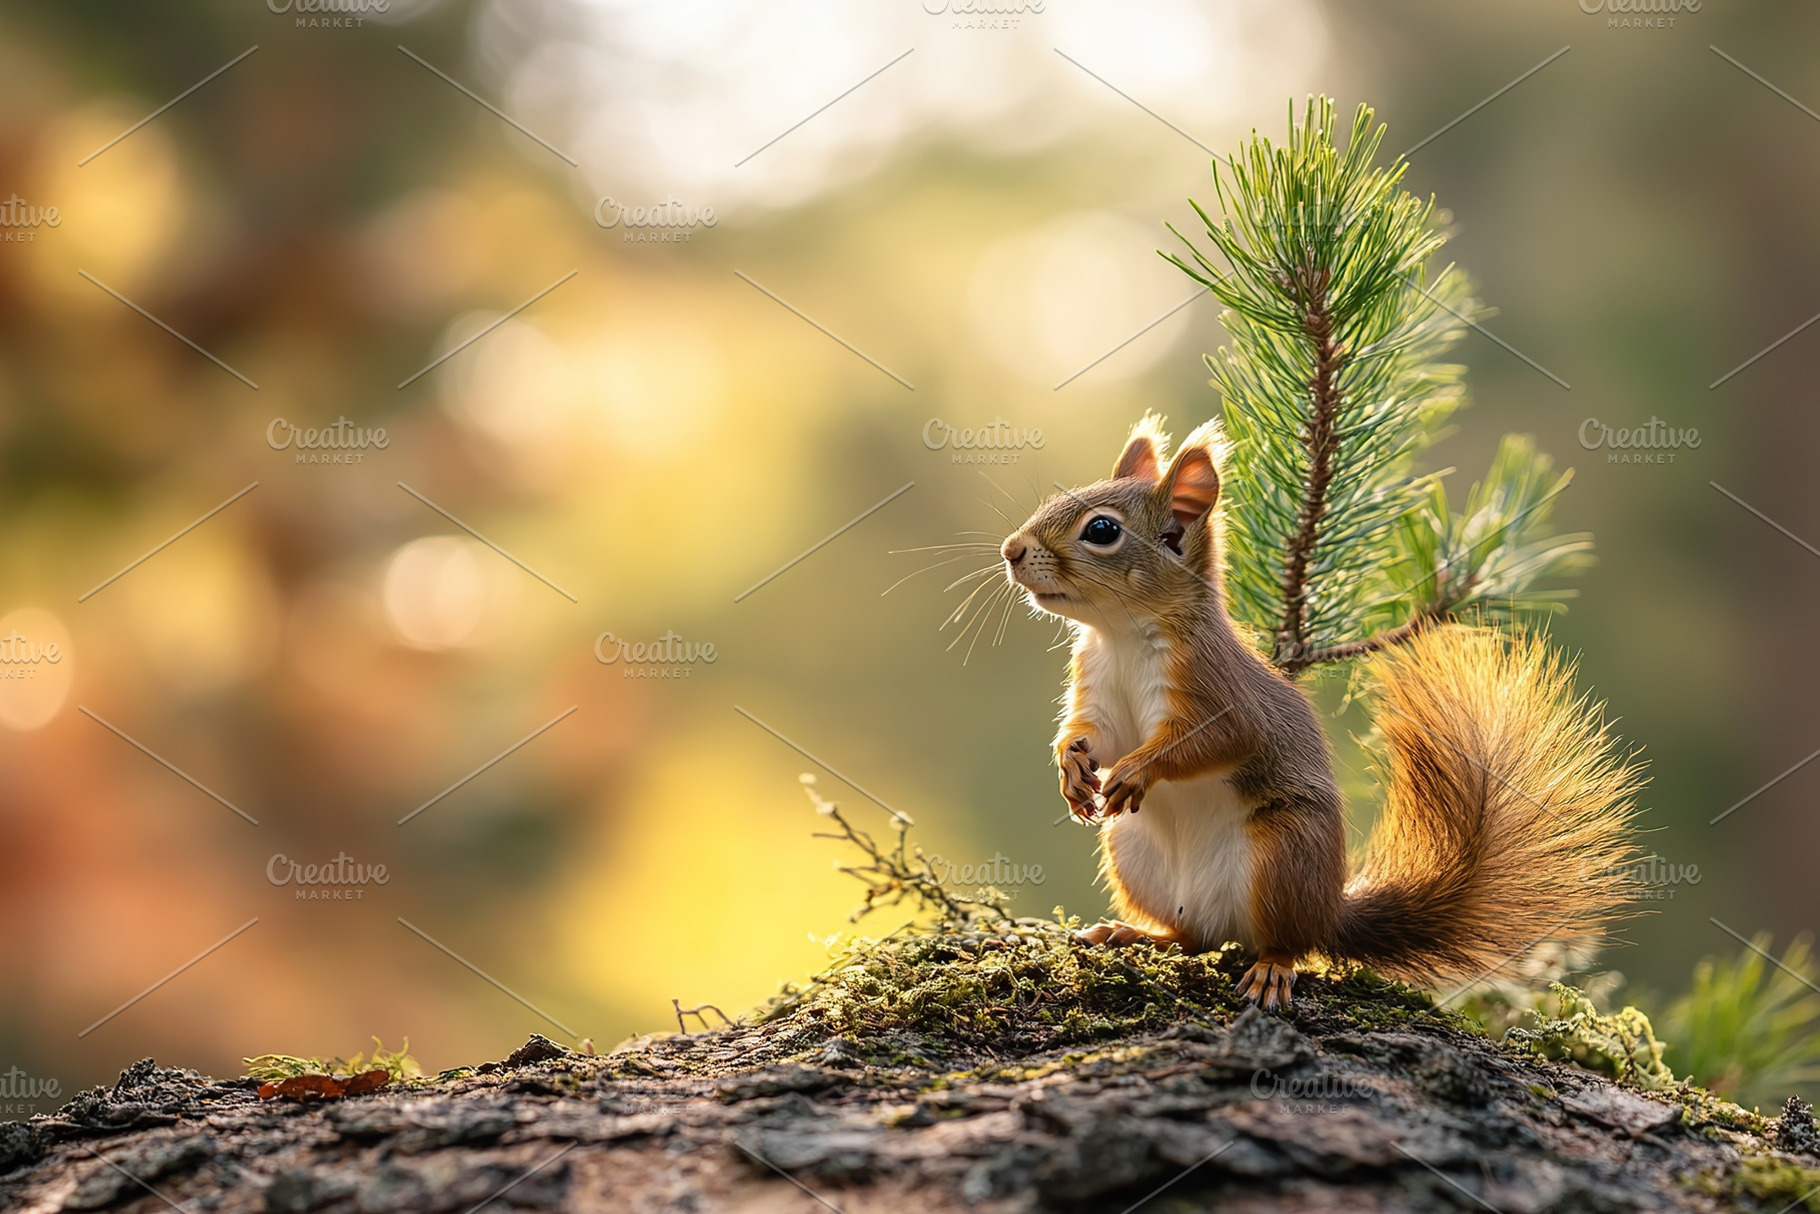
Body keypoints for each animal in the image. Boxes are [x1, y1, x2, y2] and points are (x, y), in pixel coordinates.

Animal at [998, 415, 1641, 1010]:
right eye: (1054, 501)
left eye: (1102, 530)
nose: (1011, 550)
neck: (1123, 634)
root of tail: (1327, 910)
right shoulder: (1099, 686)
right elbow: (1095, 733)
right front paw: (1070, 765)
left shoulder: (1217, 690)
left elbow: (1213, 741)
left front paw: (1137, 770)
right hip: (1135, 854)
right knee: (1191, 938)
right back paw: (1133, 933)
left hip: (1285, 853)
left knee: (1281, 942)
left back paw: (1270, 968)